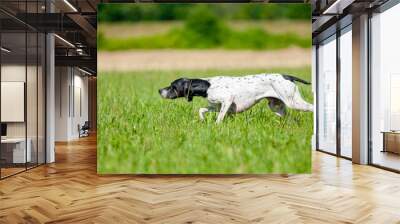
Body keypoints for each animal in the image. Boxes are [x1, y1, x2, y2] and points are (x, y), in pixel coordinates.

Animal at [159, 73, 312, 123]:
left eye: (172, 86)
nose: (159, 90)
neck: (207, 85)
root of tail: (287, 76)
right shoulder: (216, 106)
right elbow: (201, 110)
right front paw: (202, 120)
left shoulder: (227, 101)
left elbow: (219, 118)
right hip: (277, 107)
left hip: (293, 102)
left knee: (312, 107)